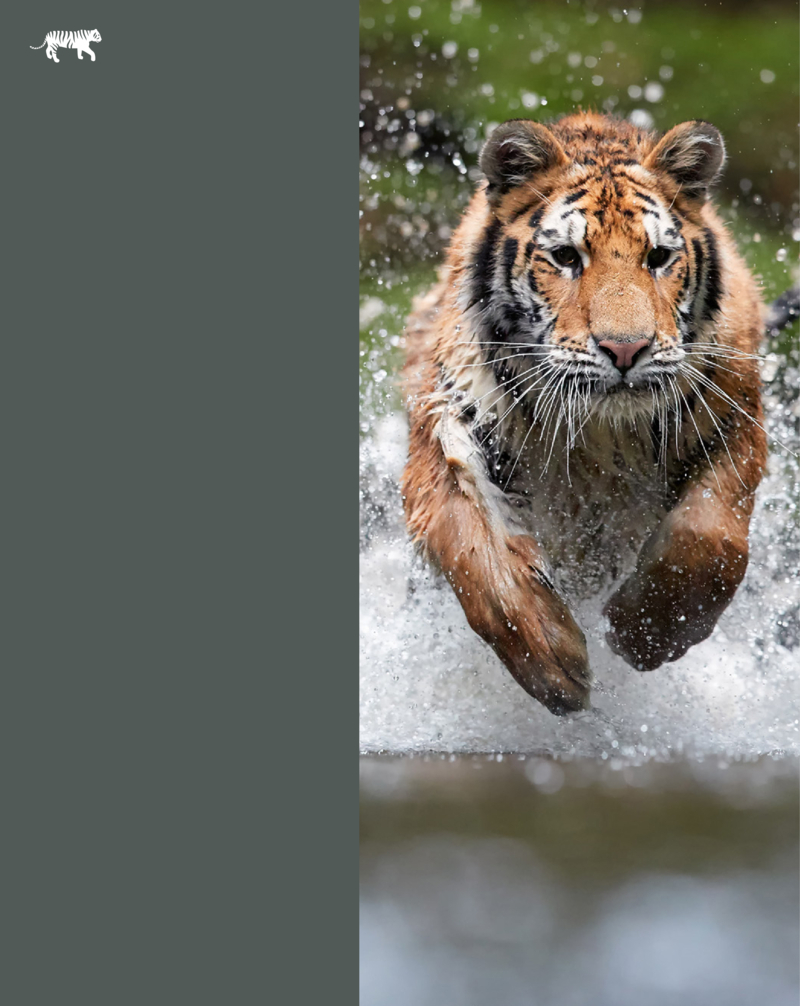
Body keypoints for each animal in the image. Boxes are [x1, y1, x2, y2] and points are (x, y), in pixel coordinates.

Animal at [401, 111, 798, 716]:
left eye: (658, 258)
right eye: (567, 258)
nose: (626, 350)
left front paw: (643, 635)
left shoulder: (735, 419)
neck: (603, 434)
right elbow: (475, 551)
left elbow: (710, 541)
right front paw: (555, 666)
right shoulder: (447, 423)